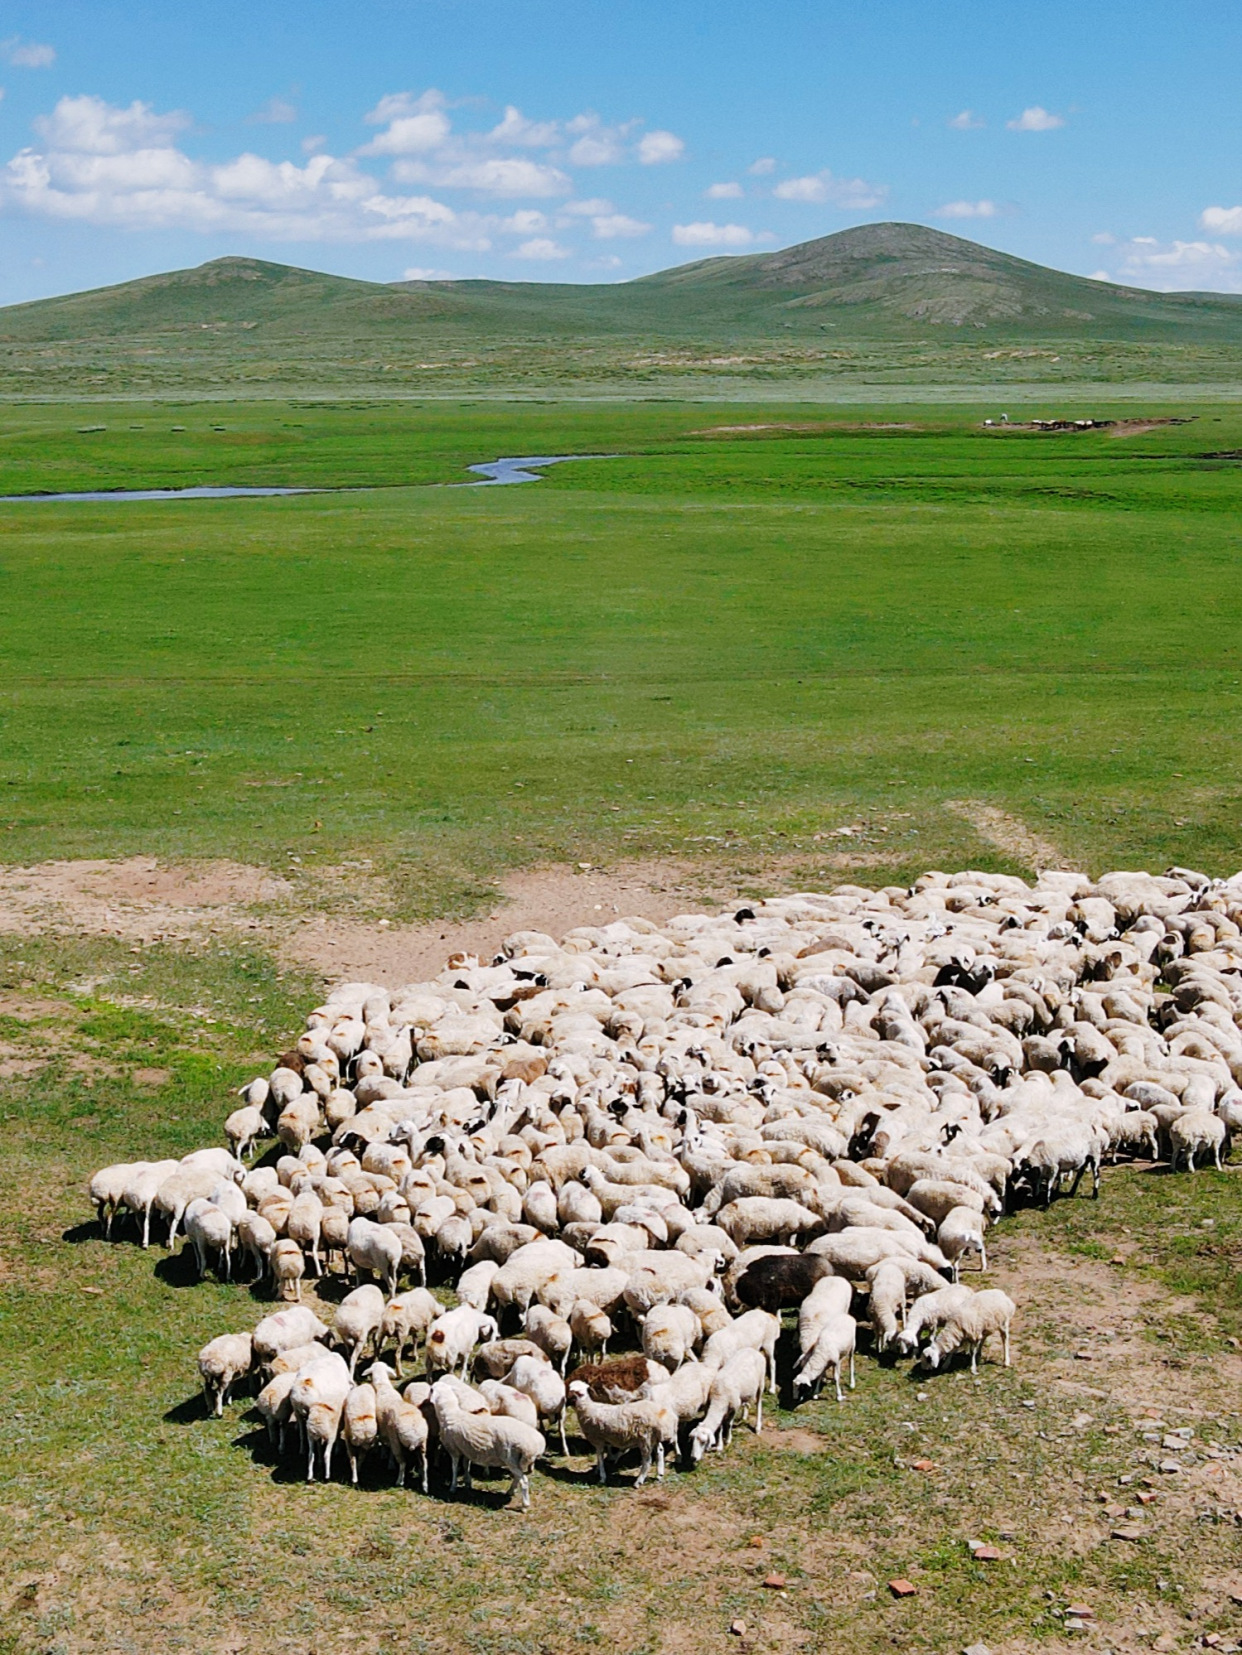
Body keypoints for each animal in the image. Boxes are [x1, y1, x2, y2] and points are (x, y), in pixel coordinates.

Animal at [433, 1376, 543, 1509]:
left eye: (432, 1389)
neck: (450, 1414)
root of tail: (535, 1445)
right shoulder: (466, 1447)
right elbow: (465, 1465)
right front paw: (467, 1482)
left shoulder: (453, 1449)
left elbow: (454, 1468)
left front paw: (453, 1487)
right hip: (518, 1462)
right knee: (518, 1477)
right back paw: (510, 1491)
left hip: (511, 1459)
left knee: (524, 1481)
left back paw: (524, 1505)